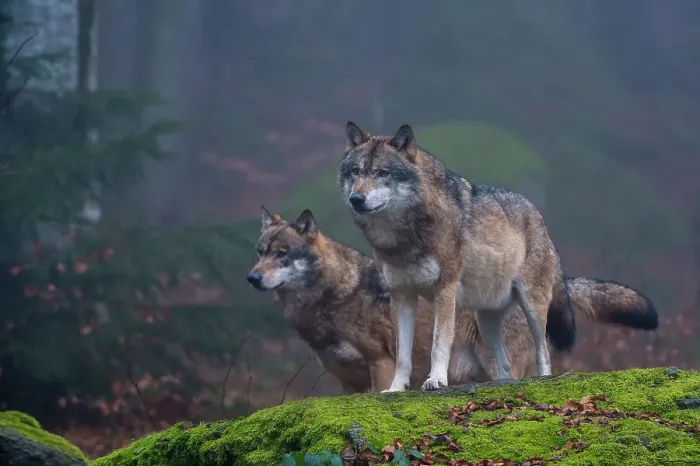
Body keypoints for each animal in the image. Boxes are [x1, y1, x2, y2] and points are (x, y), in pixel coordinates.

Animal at [246, 207, 658, 393]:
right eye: (260, 252)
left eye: (282, 255)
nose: (252, 278)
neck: (335, 298)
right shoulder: (346, 383)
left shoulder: (382, 364)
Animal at [338, 121, 658, 392]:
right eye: (355, 172)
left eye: (383, 173)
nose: (356, 199)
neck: (402, 236)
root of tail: (539, 217)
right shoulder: (402, 294)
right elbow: (402, 354)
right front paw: (395, 389)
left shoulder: (445, 290)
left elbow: (439, 343)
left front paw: (436, 380)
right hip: (486, 321)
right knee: (504, 367)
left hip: (532, 308)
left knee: (544, 354)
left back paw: (543, 379)